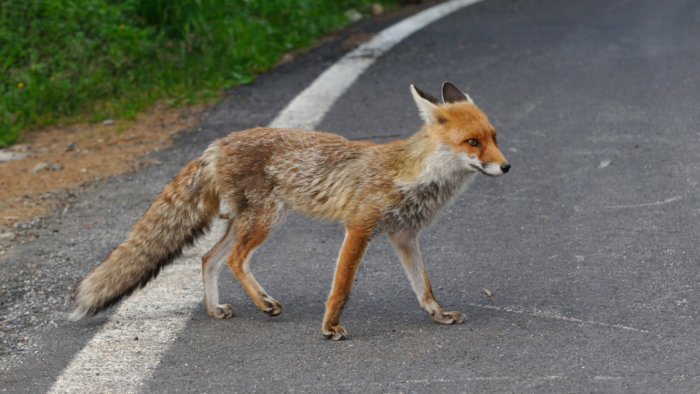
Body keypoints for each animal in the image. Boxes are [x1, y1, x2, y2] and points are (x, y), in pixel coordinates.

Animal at [69, 81, 508, 340]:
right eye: (472, 142)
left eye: (494, 137)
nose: (506, 167)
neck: (414, 176)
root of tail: (215, 146)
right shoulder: (359, 227)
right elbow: (341, 288)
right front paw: (330, 327)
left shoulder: (403, 235)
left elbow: (424, 288)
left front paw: (438, 315)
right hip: (266, 220)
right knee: (233, 260)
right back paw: (264, 303)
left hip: (246, 222)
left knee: (209, 259)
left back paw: (216, 309)